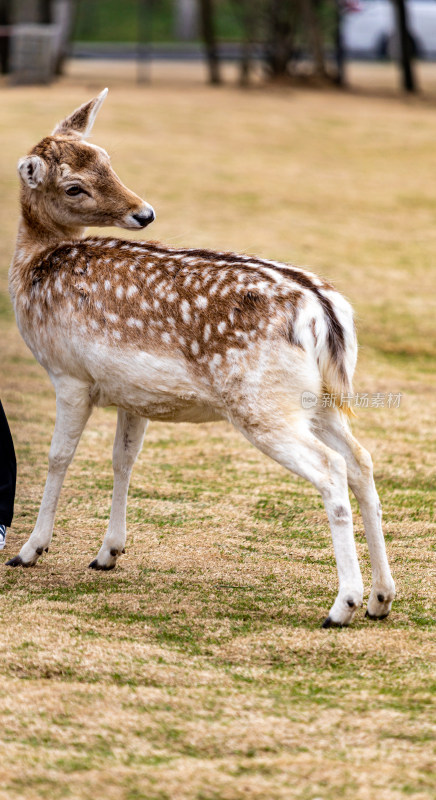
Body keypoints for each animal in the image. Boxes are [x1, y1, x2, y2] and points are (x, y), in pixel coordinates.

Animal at [6, 90, 396, 628]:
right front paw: (107, 553)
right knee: (361, 461)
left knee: (331, 468)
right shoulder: (132, 394)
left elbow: (58, 456)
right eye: (76, 185)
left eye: (106, 161)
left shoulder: (69, 375)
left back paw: (342, 606)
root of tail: (324, 311)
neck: (33, 269)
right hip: (318, 402)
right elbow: (123, 459)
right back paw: (381, 598)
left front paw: (29, 550)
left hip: (261, 404)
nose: (144, 213)